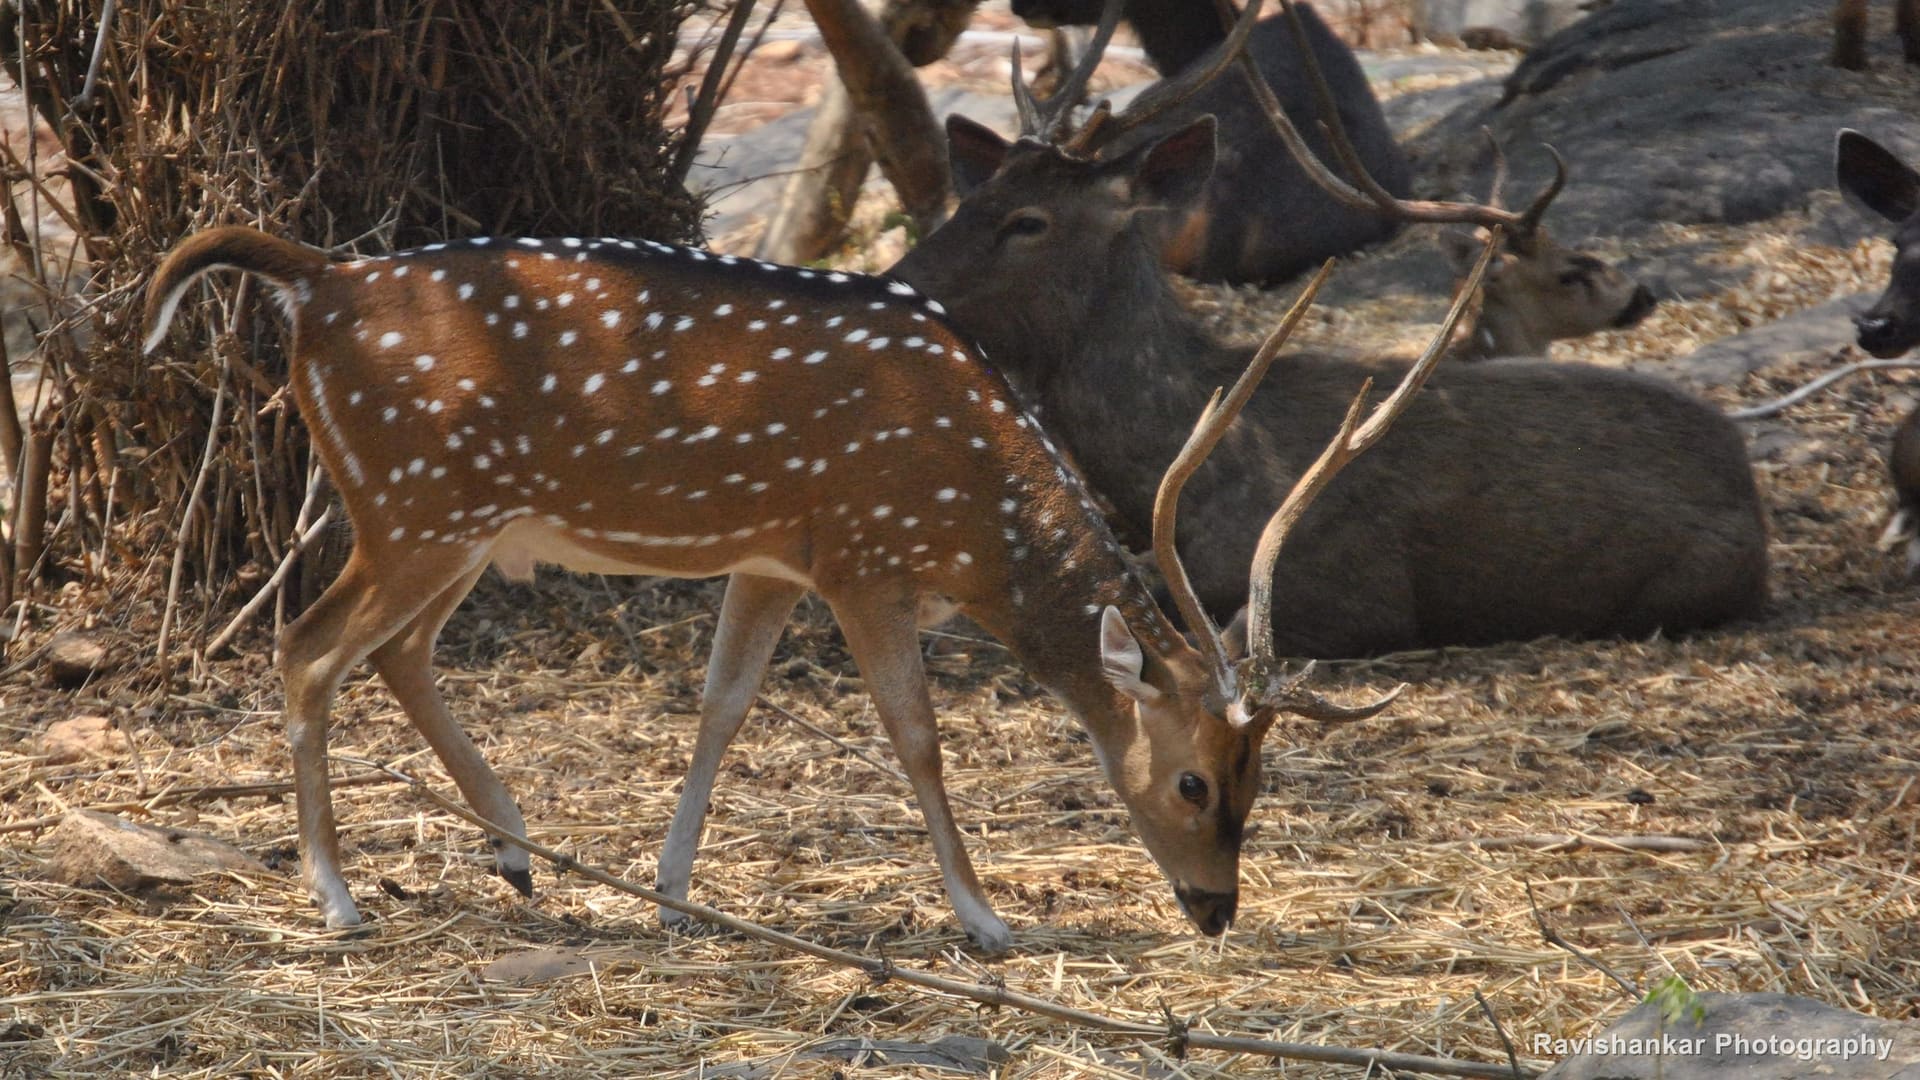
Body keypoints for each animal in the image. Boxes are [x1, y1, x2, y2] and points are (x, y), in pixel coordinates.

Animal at [138, 187, 1491, 945]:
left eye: (1263, 778)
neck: (967, 509)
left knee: (397, 652)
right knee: (308, 648)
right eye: (1197, 782)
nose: (1216, 909)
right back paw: (338, 900)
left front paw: (675, 895)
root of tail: (318, 283)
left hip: (454, 523)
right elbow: (915, 737)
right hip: (415, 503)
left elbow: (722, 706)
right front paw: (988, 921)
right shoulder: (856, 553)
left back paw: (519, 853)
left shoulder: (772, 556)